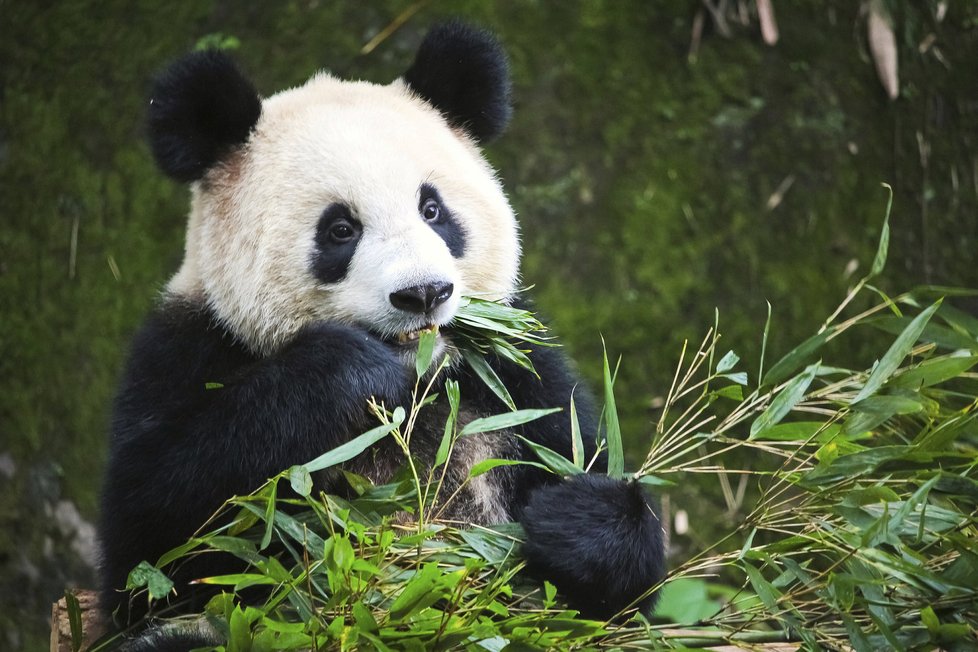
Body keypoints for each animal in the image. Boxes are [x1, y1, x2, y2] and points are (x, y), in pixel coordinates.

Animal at [99, 20, 664, 640]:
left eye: (433, 210)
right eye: (340, 229)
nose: (424, 294)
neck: (419, 382)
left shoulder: (515, 376)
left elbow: (622, 592)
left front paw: (574, 520)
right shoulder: (186, 349)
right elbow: (156, 540)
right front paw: (346, 372)